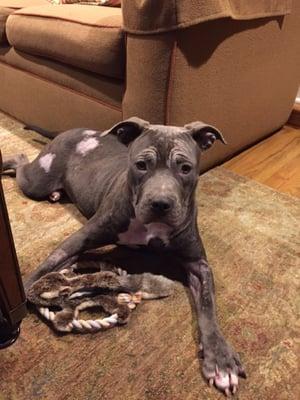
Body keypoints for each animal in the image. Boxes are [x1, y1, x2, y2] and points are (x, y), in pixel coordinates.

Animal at [2, 117, 246, 396]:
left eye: (185, 168)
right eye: (141, 165)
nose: (160, 203)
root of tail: (72, 130)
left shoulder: (198, 264)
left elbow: (208, 307)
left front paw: (220, 359)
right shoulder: (81, 238)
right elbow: (48, 265)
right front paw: (27, 292)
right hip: (36, 181)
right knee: (20, 160)